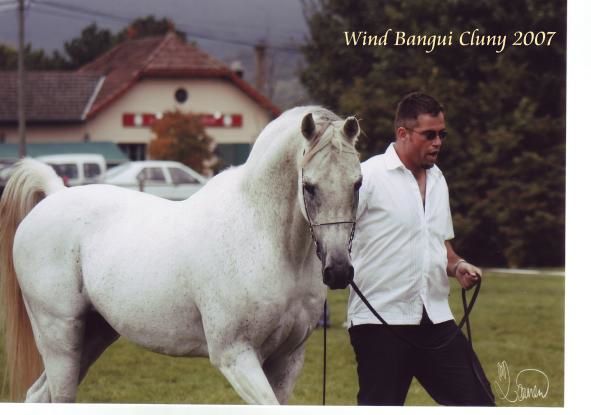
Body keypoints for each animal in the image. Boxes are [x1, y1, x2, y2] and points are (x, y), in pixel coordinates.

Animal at [0, 106, 360, 404]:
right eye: (309, 186)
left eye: (357, 184)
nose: (339, 271)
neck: (267, 239)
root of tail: (54, 194)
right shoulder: (235, 356)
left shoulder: (287, 359)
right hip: (59, 338)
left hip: (93, 335)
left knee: (38, 394)